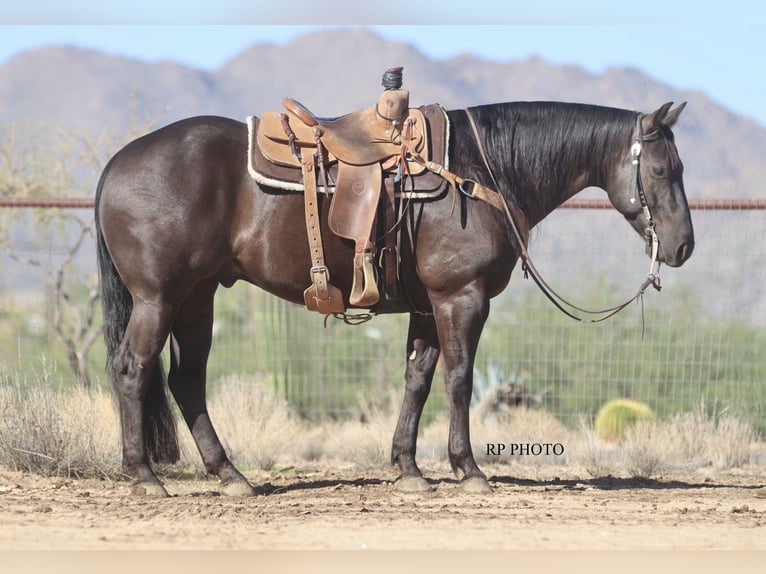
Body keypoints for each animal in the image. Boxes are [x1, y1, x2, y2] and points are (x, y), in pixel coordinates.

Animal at [95, 100, 694, 497]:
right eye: (662, 169)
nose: (683, 245)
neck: (478, 171)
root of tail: (117, 162)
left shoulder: (429, 306)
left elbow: (418, 380)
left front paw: (408, 468)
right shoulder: (462, 298)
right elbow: (459, 380)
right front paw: (467, 468)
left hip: (196, 299)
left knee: (185, 380)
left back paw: (230, 475)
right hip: (158, 298)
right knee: (133, 368)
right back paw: (145, 476)